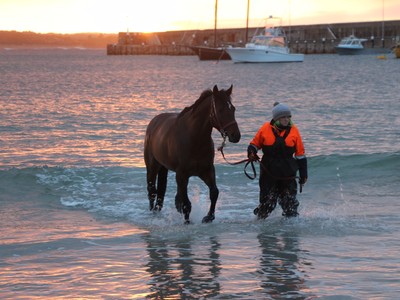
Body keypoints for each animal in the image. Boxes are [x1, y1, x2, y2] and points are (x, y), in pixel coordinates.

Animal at [144, 84, 241, 223]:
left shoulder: (207, 171)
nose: (236, 135)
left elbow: (214, 192)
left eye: (233, 108)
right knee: (152, 191)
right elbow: (186, 203)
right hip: (153, 167)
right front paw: (187, 222)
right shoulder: (182, 174)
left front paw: (209, 217)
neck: (194, 138)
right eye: (221, 110)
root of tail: (154, 122)